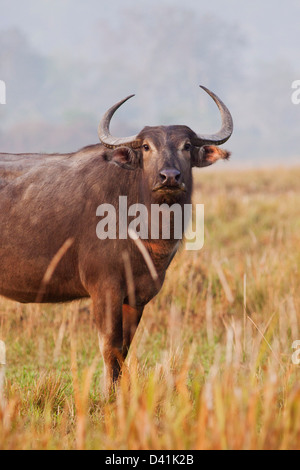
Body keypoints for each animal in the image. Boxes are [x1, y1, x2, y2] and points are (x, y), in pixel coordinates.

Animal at [0, 85, 232, 392]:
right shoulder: (104, 288)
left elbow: (123, 349)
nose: (169, 176)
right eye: (146, 147)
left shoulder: (137, 297)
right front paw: (107, 394)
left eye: (186, 146)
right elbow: (109, 346)